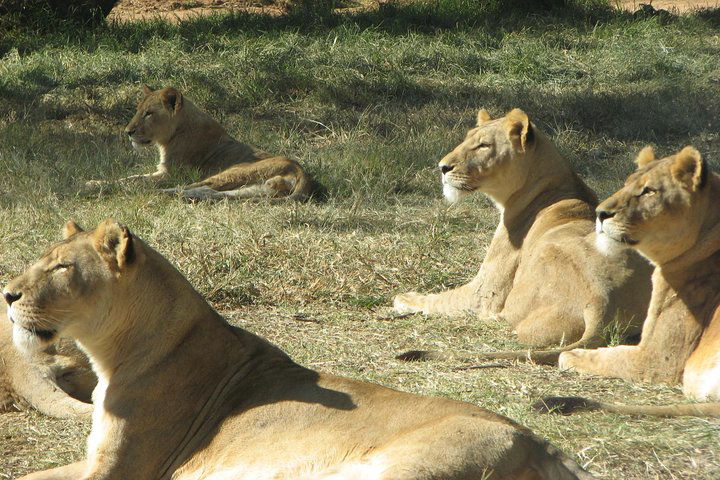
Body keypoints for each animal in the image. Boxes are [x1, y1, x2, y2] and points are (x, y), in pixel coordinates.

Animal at [86, 86, 316, 202]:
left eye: (149, 113)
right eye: (138, 110)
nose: (128, 132)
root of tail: (301, 171)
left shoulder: (170, 173)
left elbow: (133, 180)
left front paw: (94, 184)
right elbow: (132, 176)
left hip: (232, 172)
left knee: (194, 186)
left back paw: (156, 193)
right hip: (253, 188)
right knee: (214, 193)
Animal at [394, 109, 652, 364]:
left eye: (483, 145)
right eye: (466, 139)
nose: (442, 167)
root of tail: (601, 302)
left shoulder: (485, 293)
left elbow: (441, 299)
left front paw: (405, 299)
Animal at [536, 145, 720, 416]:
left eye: (649, 191)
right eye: (626, 184)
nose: (600, 213)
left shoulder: (657, 359)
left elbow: (611, 356)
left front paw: (572, 355)